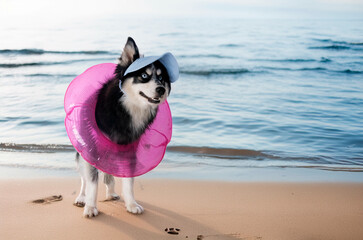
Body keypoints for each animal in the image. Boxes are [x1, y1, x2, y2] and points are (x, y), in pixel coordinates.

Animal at [73, 37, 172, 218]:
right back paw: (82, 197)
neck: (125, 109)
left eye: (162, 79)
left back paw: (111, 193)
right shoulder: (92, 149)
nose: (161, 90)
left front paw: (131, 204)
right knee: (85, 178)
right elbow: (92, 182)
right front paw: (90, 206)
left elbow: (129, 182)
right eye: (144, 75)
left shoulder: (129, 151)